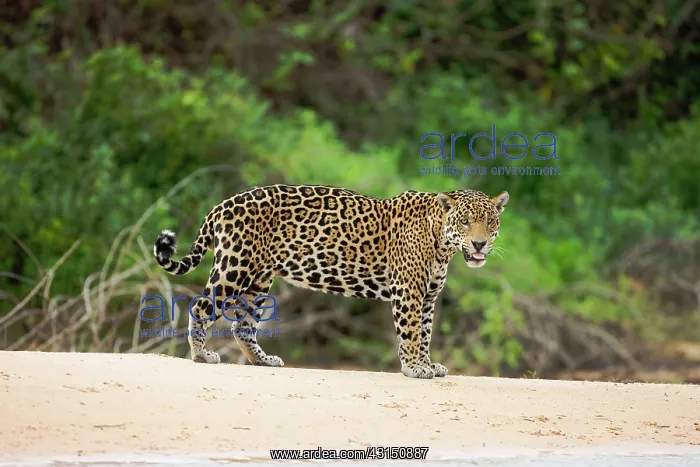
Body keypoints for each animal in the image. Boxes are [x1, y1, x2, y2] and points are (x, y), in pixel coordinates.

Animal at [153, 184, 509, 379]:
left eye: (490, 222)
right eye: (465, 222)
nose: (479, 244)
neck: (442, 243)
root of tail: (222, 204)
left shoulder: (428, 298)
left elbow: (424, 335)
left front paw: (428, 364)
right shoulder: (409, 293)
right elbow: (410, 334)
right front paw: (415, 368)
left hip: (259, 279)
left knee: (243, 325)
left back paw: (263, 360)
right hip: (236, 268)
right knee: (200, 305)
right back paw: (201, 355)